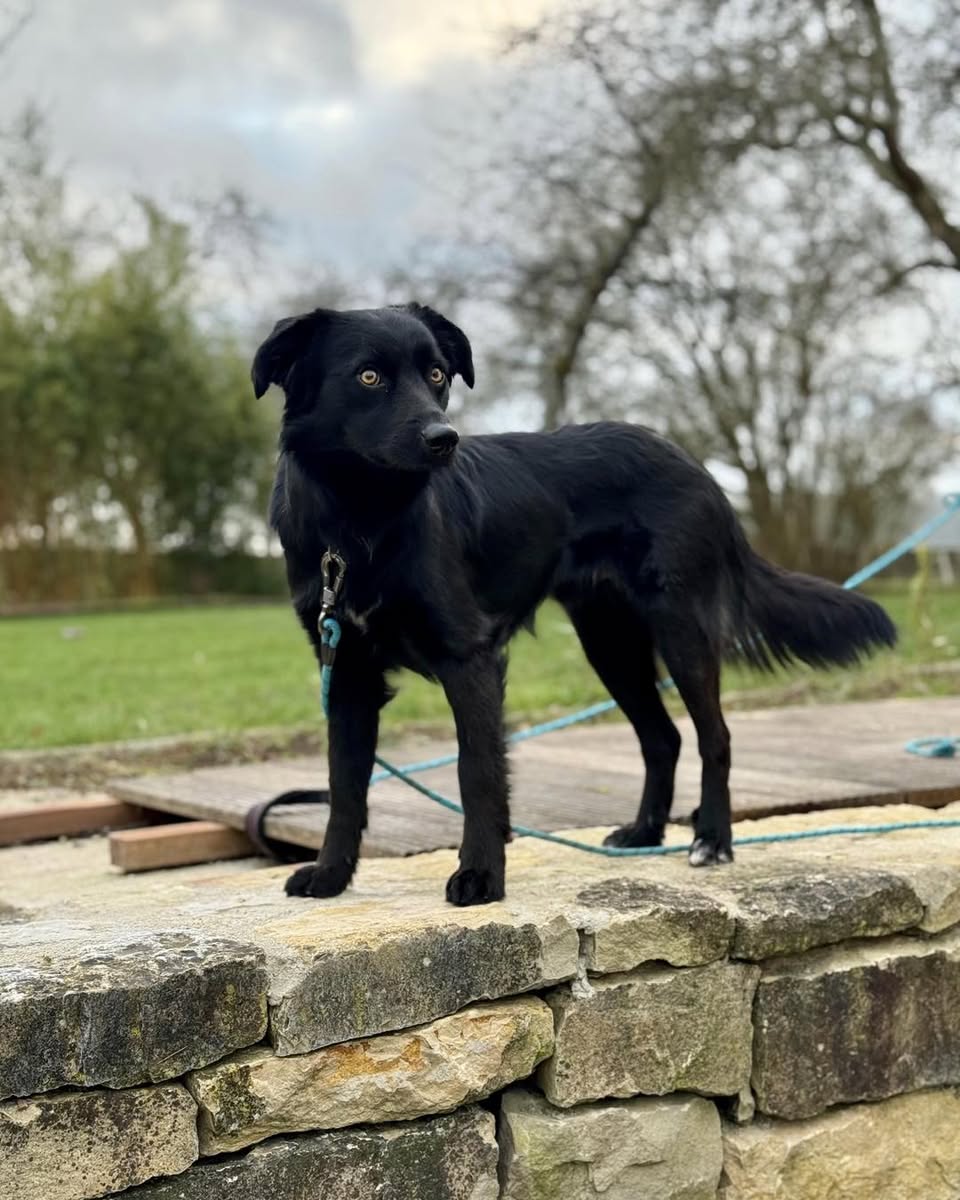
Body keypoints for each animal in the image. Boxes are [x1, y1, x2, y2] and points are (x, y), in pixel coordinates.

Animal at [253, 302, 896, 906]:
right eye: (368, 377)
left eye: (435, 373)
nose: (444, 439)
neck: (360, 524)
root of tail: (699, 471)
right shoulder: (347, 671)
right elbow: (344, 784)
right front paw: (330, 875)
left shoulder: (468, 657)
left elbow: (477, 771)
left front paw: (481, 874)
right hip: (610, 642)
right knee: (663, 738)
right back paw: (643, 832)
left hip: (681, 629)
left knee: (714, 737)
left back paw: (712, 839)